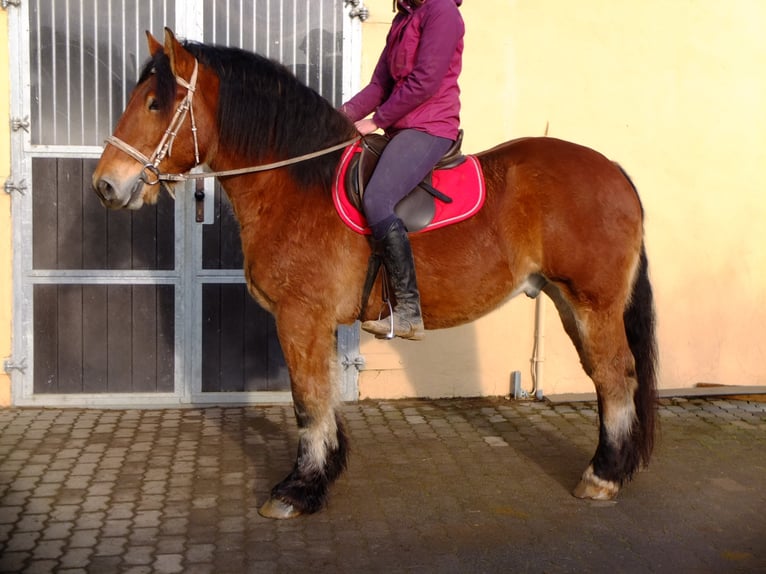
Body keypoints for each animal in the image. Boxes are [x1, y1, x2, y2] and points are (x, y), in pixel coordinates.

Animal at [93, 28, 660, 520]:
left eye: (155, 103)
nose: (106, 186)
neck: (297, 183)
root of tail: (614, 171)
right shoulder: (314, 323)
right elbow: (320, 399)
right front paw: (321, 475)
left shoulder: (300, 318)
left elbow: (307, 403)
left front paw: (298, 489)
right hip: (570, 303)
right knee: (607, 377)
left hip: (593, 302)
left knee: (616, 377)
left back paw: (603, 477)